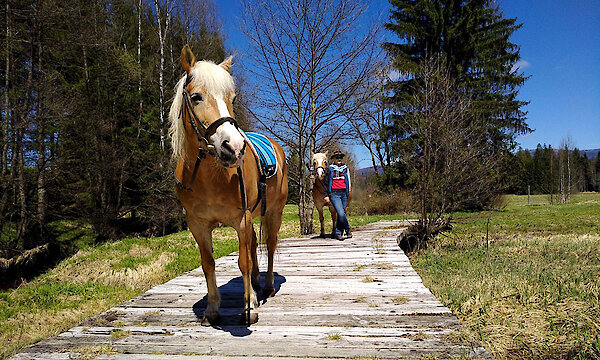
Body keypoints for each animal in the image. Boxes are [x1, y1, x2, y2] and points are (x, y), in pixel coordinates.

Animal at [168, 45, 290, 326]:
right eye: (196, 97)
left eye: (232, 99)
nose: (233, 147)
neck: (209, 177)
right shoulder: (197, 225)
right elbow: (208, 263)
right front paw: (213, 308)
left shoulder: (241, 219)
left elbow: (243, 261)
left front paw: (249, 307)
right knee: (255, 245)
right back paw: (255, 284)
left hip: (274, 212)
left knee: (270, 245)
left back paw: (266, 286)